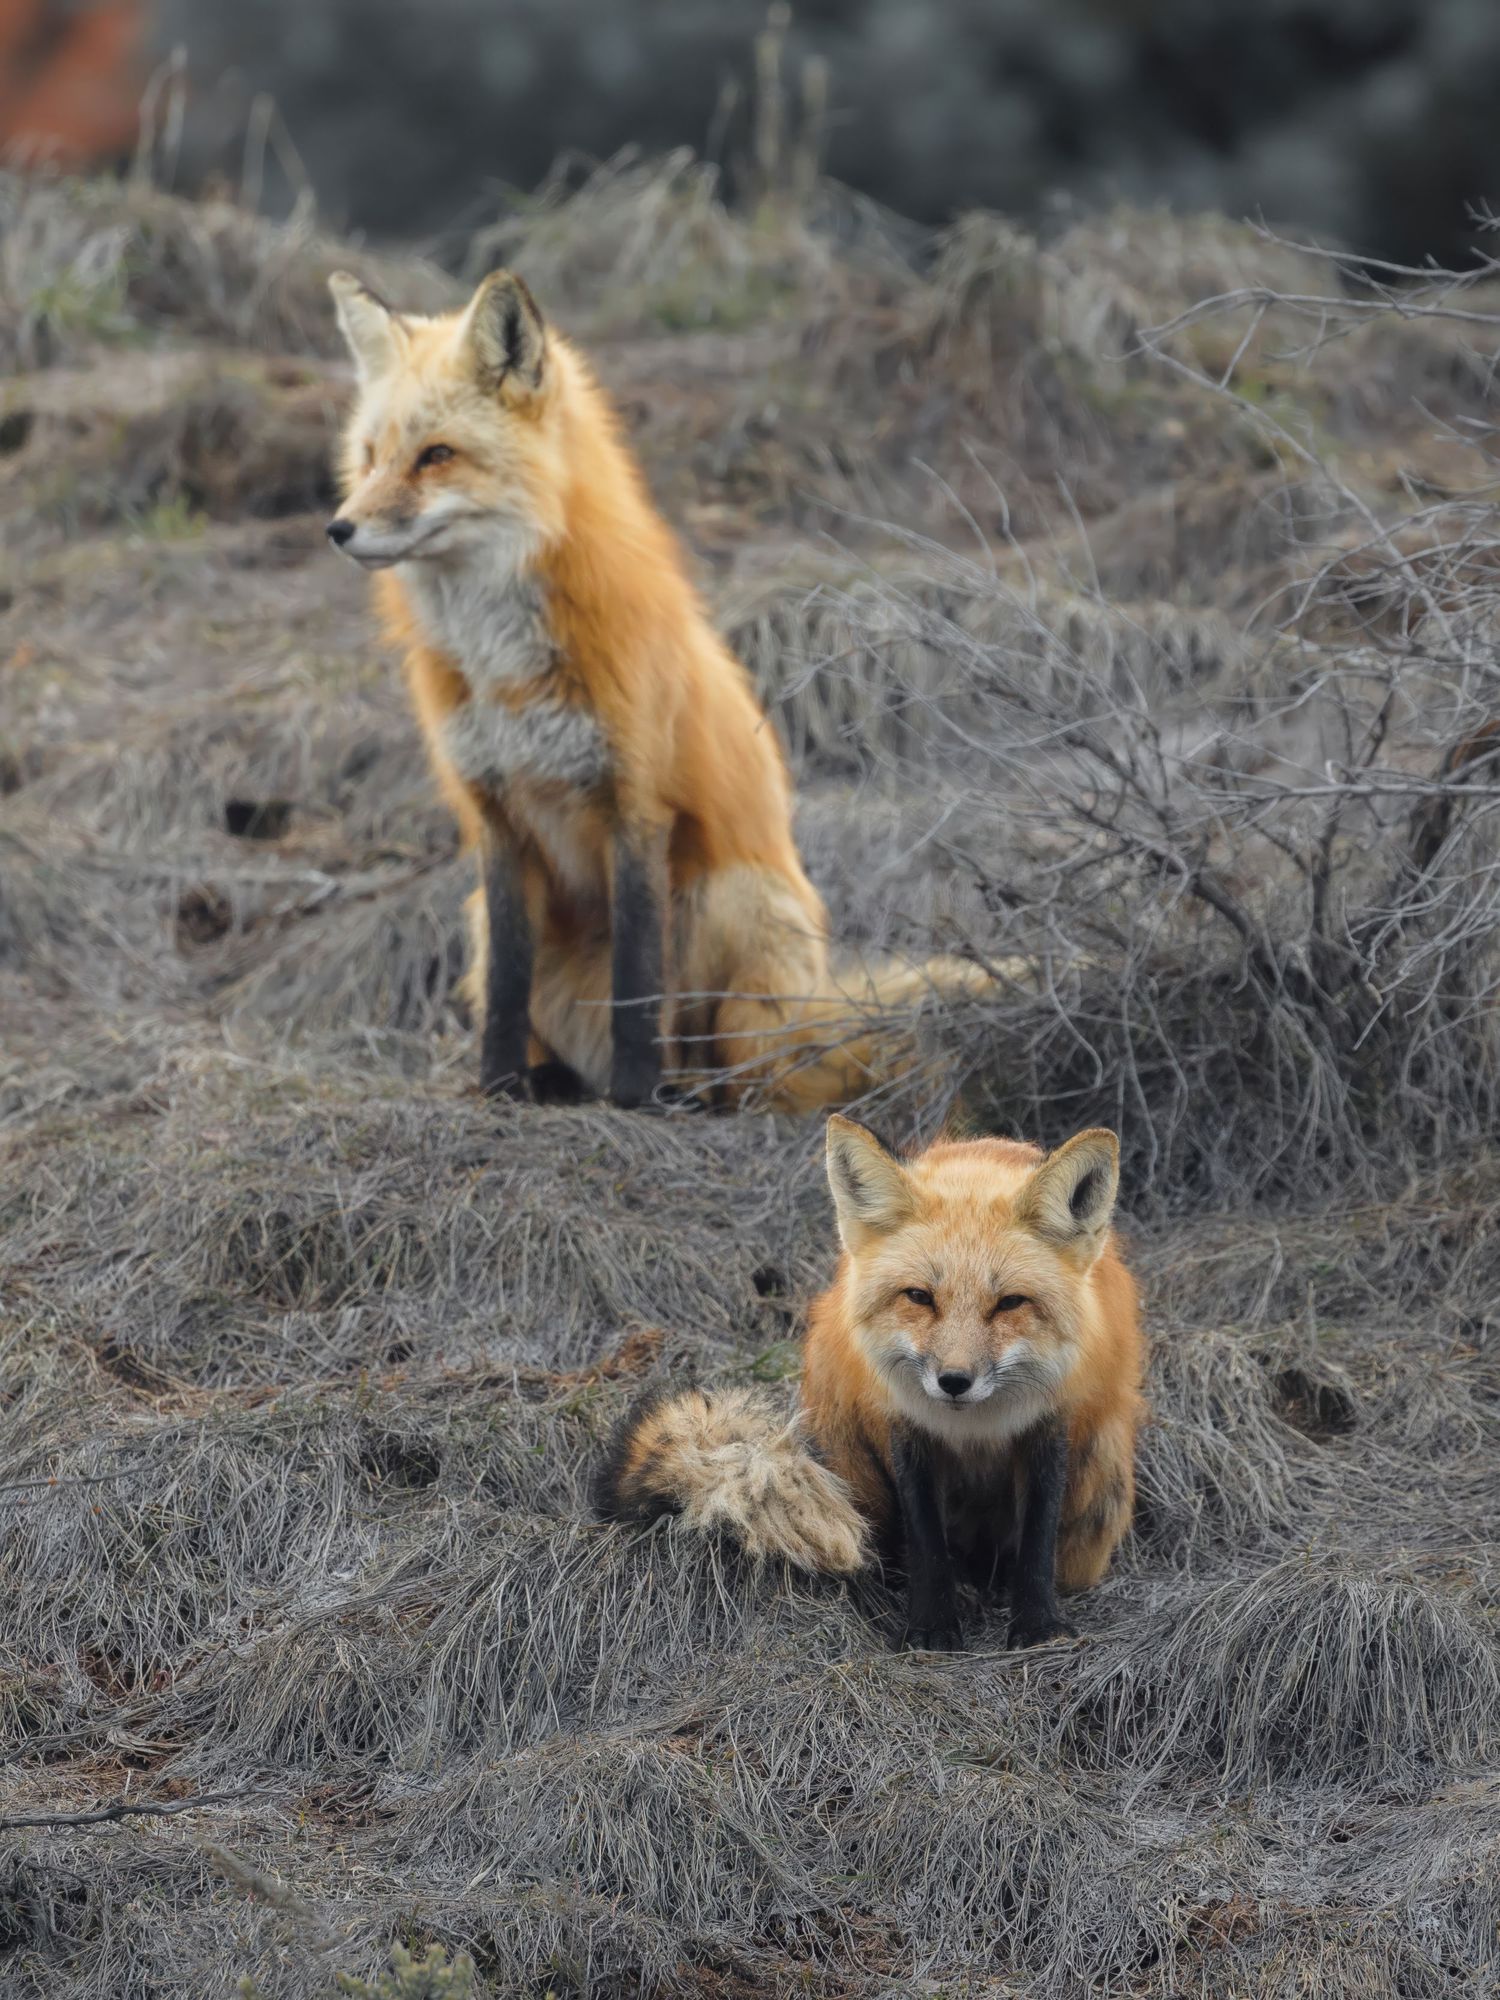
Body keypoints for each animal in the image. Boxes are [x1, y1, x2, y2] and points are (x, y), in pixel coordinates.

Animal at [324, 266, 986, 1111]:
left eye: (436, 456)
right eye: (371, 454)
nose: (338, 529)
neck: (505, 667)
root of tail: (808, 1021)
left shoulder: (636, 802)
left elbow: (638, 980)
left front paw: (635, 1093)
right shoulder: (494, 816)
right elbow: (506, 986)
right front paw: (499, 1085)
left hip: (728, 902)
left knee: (741, 1067)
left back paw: (685, 1089)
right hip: (478, 919)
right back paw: (559, 1079)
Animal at [595, 1117, 1145, 1649]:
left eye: (1010, 1303)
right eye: (919, 1297)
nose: (954, 1381)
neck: (975, 1428)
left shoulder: (1050, 1427)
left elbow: (1037, 1538)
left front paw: (1036, 1627)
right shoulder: (904, 1428)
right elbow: (925, 1540)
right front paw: (931, 1627)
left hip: (1101, 1478)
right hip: (849, 1461)